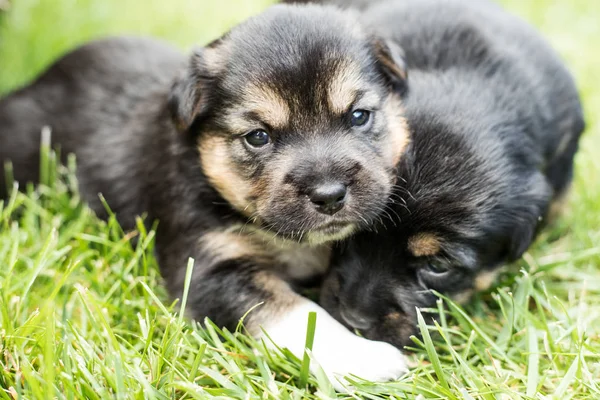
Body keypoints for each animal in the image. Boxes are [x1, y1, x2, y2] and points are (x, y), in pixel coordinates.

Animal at [0, 3, 410, 388]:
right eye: (258, 136)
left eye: (359, 116)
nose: (329, 195)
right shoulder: (209, 266)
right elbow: (292, 310)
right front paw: (361, 358)